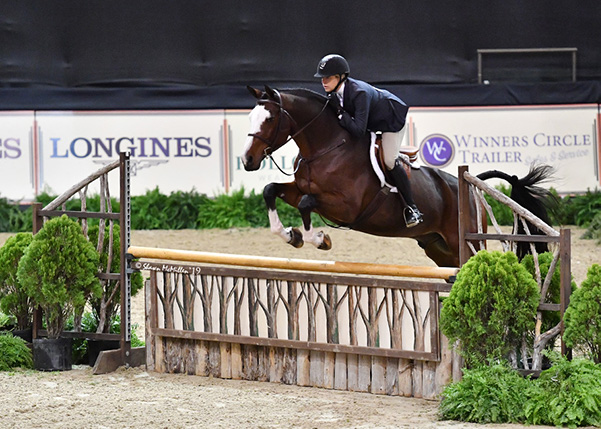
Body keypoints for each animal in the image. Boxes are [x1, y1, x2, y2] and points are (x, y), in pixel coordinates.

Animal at [241, 85, 552, 266]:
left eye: (270, 119)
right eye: (249, 118)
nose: (247, 160)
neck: (326, 147)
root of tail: (466, 185)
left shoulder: (346, 206)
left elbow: (307, 203)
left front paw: (319, 239)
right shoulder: (300, 188)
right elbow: (271, 190)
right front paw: (291, 235)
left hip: (466, 240)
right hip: (437, 246)